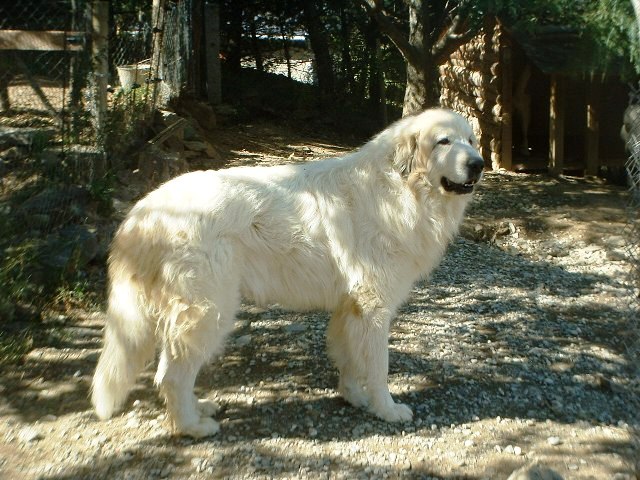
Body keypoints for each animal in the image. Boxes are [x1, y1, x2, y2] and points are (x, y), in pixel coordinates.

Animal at [92, 109, 482, 438]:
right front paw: (386, 409)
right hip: (208, 312)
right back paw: (192, 427)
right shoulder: (374, 308)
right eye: (443, 141)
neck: (401, 188)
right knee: (172, 376)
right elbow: (378, 367)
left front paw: (353, 397)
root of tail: (143, 210)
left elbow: (349, 359)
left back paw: (198, 409)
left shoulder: (351, 308)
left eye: (470, 140)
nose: (478, 164)